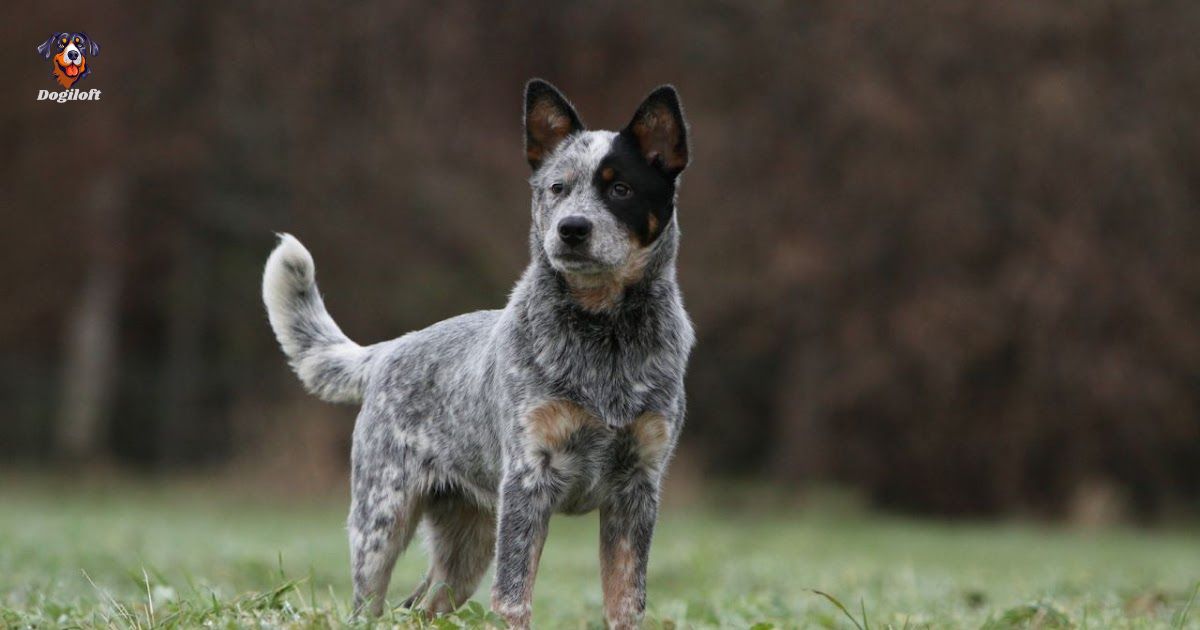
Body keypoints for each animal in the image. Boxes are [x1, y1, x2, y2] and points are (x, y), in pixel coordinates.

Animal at [262, 79, 696, 628]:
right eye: (557, 187)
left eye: (620, 189)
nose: (572, 228)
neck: (606, 336)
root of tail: (390, 349)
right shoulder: (528, 479)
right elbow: (513, 597)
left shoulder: (637, 487)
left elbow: (625, 601)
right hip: (382, 519)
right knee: (370, 603)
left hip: (468, 538)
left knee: (426, 608)